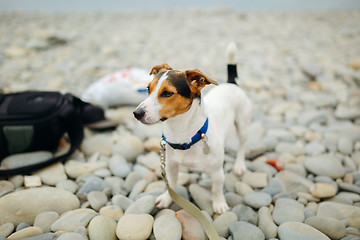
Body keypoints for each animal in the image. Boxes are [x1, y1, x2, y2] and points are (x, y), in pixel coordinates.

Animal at [133, 61, 253, 214]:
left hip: (243, 126)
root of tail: (231, 83)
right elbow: (171, 184)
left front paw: (219, 204)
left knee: (242, 147)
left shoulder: (217, 172)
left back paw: (239, 165)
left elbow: (217, 189)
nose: (136, 113)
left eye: (167, 93)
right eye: (148, 88)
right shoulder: (170, 166)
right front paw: (167, 198)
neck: (183, 135)